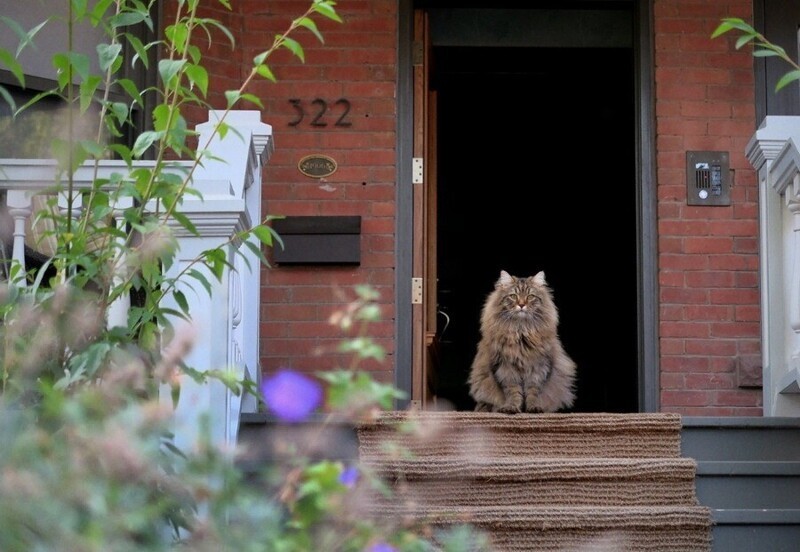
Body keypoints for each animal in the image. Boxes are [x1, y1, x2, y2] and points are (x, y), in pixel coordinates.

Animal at [468, 270, 576, 412]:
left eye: (530, 297)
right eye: (513, 296)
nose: (521, 305)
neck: (521, 332)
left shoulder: (539, 368)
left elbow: (533, 392)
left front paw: (534, 408)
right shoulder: (505, 369)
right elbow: (513, 392)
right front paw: (511, 407)